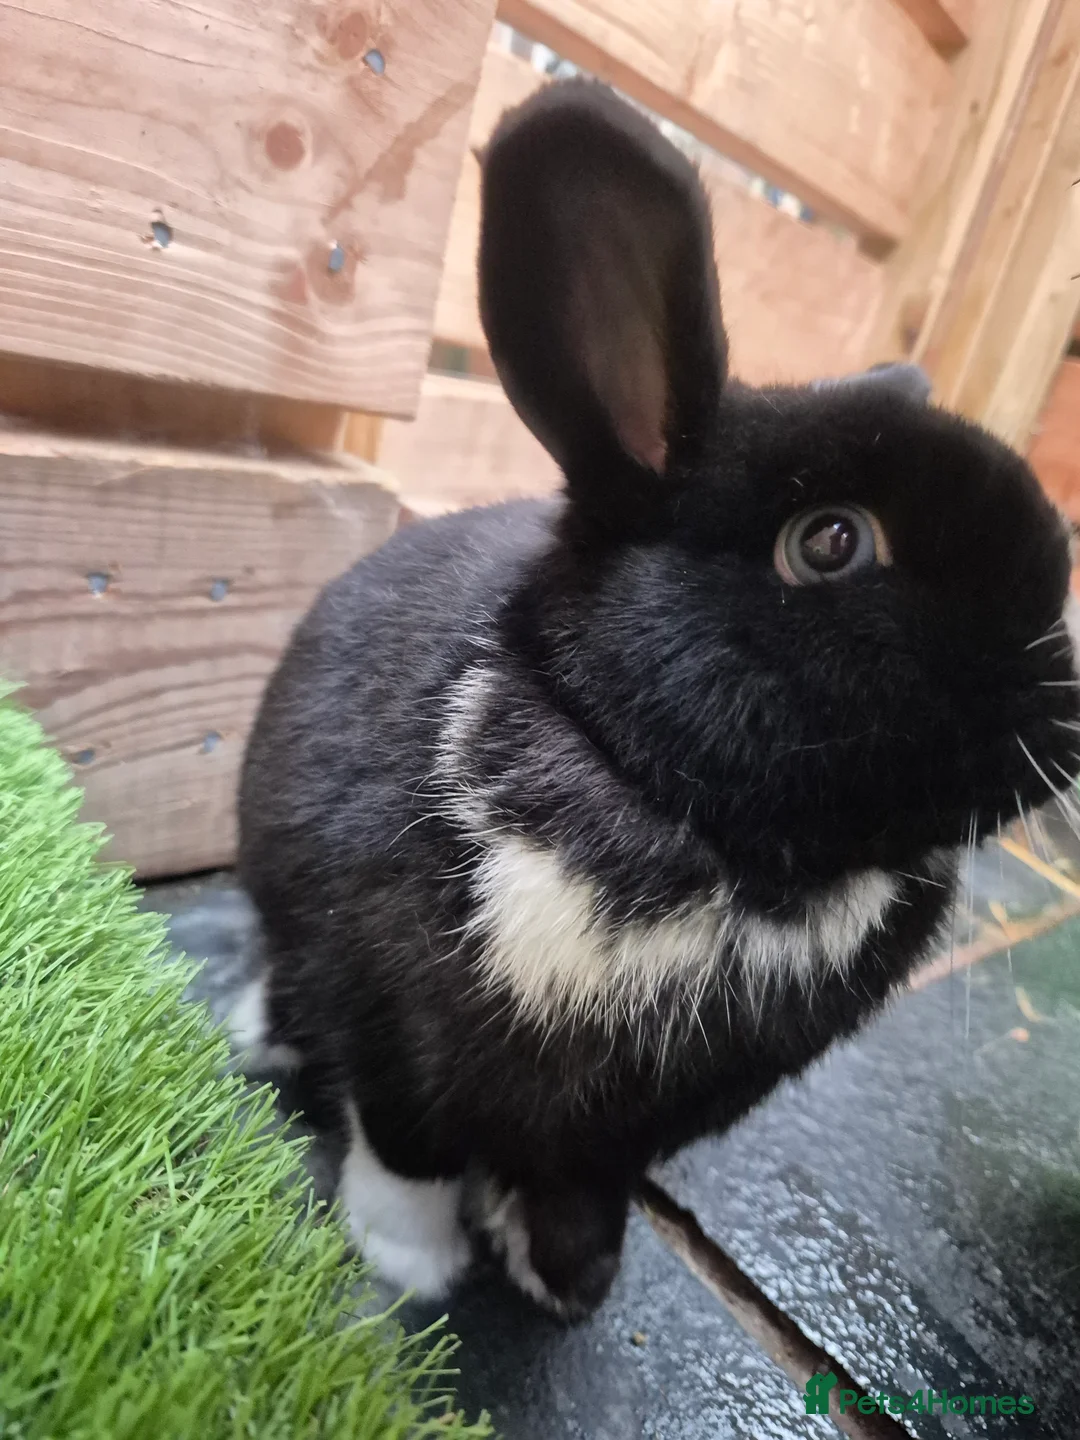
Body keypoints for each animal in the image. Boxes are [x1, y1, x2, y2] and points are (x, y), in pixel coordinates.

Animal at [235, 79, 1080, 1321]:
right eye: (831, 542)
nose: (1063, 720)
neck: (719, 850)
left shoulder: (642, 1124)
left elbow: (579, 1179)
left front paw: (568, 1277)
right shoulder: (395, 1013)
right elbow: (409, 1149)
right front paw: (413, 1269)